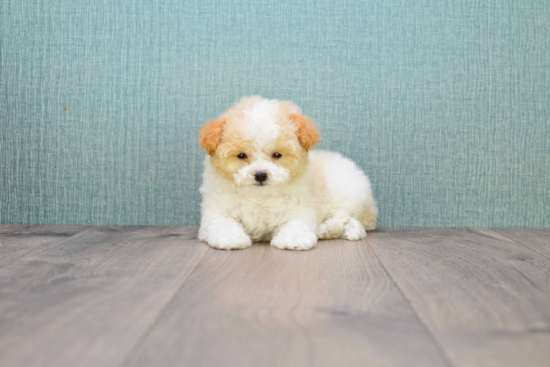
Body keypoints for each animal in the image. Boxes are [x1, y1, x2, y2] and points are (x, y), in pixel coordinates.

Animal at [198, 96, 380, 252]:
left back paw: (332, 229)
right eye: (241, 155)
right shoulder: (218, 207)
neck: (259, 195)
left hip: (347, 193)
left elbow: (296, 222)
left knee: (348, 217)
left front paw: (294, 239)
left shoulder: (300, 204)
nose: (261, 174)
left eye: (277, 155)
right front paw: (230, 238)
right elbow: (222, 222)